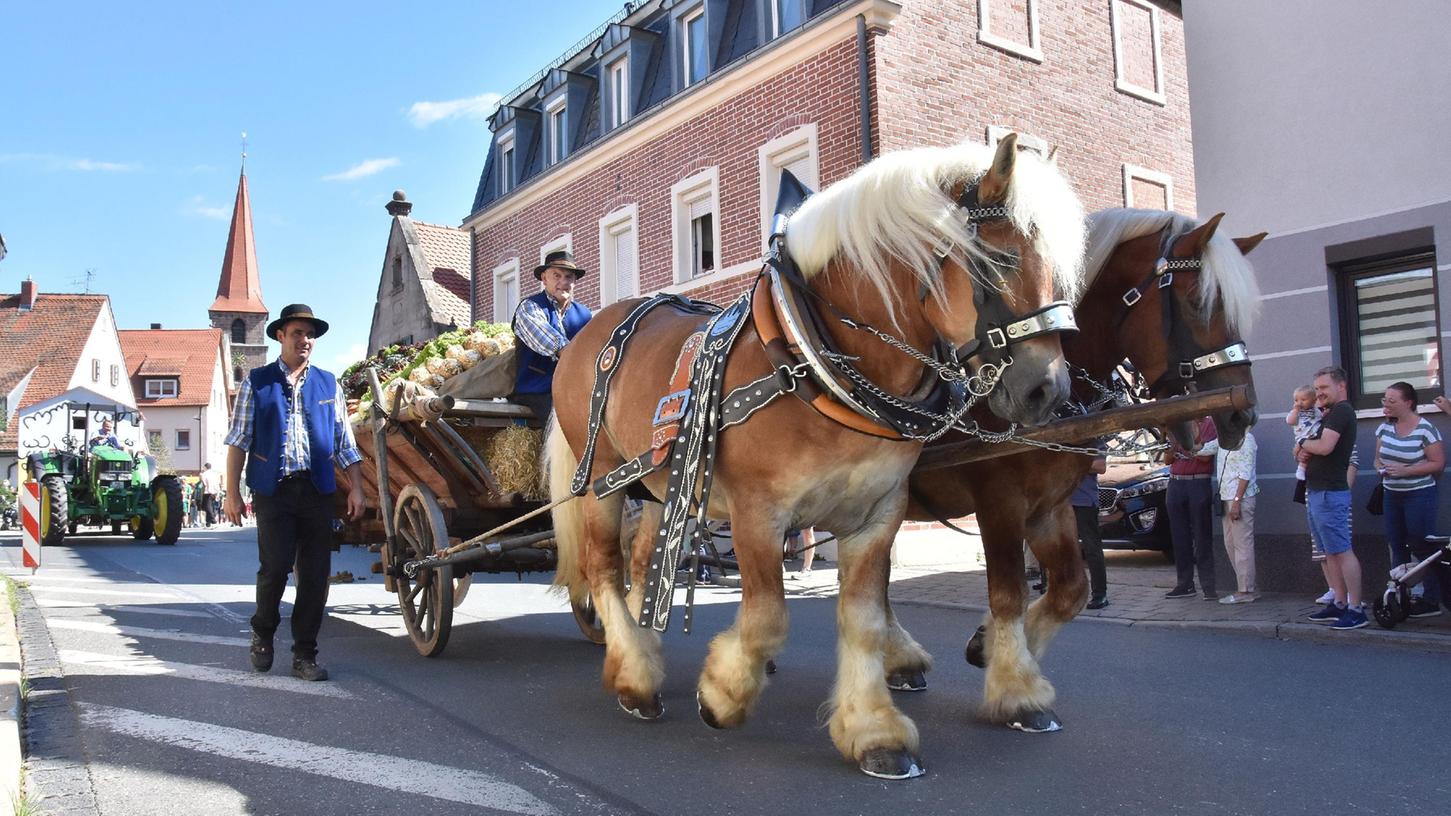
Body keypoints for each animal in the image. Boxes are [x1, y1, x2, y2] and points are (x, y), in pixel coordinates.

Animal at [545, 136, 1091, 778]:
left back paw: (641, 654)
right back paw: (634, 676)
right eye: (996, 261)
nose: (1047, 391)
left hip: (659, 486)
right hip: (601, 480)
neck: (814, 361)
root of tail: (590, 329)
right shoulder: (759, 514)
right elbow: (767, 617)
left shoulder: (879, 513)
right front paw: (724, 693)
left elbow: (863, 618)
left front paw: (873, 731)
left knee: (640, 563)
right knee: (603, 568)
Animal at [899, 206, 1265, 725]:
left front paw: (993, 651)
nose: (1242, 414)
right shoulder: (999, 502)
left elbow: (1071, 590)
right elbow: (1008, 591)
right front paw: (1016, 691)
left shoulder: (1051, 505)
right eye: (1197, 302)